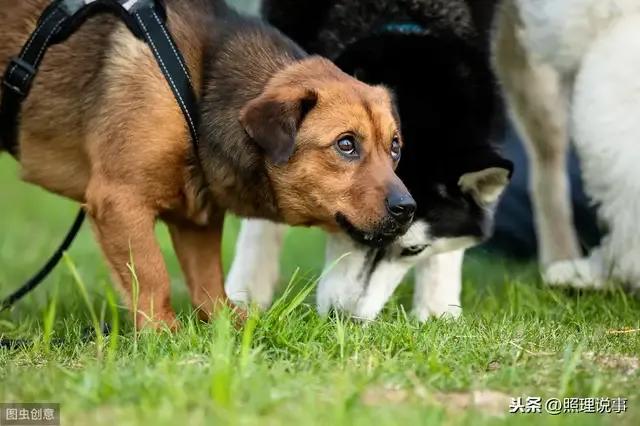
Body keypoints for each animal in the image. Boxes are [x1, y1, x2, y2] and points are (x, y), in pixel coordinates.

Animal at [0, 0, 416, 328]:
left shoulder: (196, 218)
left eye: (395, 147)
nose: (407, 209)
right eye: (346, 145)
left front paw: (228, 327)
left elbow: (208, 283)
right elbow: (152, 275)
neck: (200, 87)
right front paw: (163, 336)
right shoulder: (118, 200)